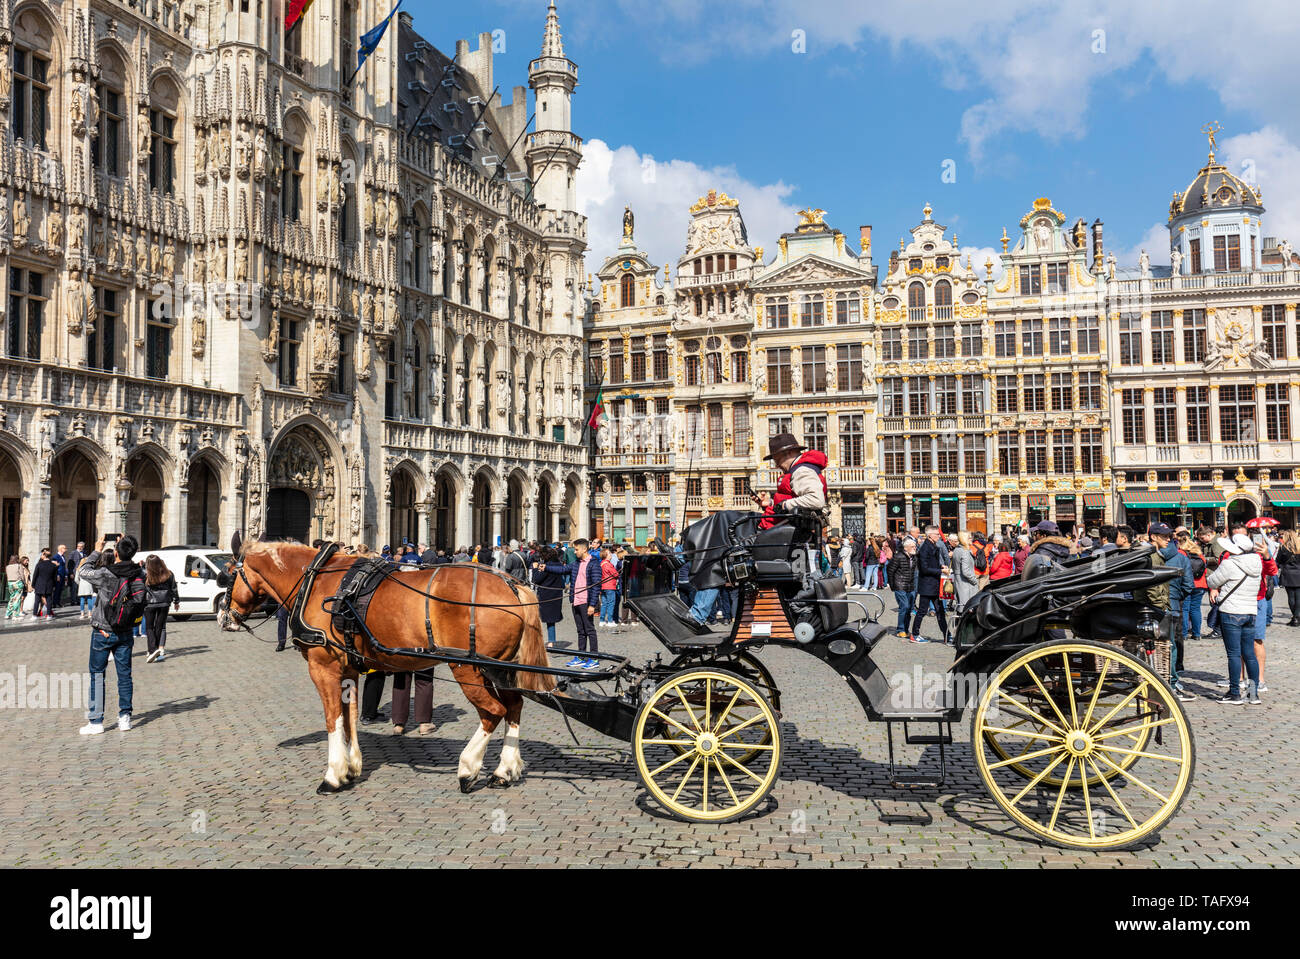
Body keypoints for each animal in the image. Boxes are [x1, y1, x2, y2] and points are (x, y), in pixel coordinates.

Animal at [217, 539, 554, 794]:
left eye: (228, 573)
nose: (223, 617)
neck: (315, 581)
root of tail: (514, 586)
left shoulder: (323, 666)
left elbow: (332, 719)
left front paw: (333, 776)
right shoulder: (349, 669)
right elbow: (350, 717)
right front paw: (352, 768)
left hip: (469, 667)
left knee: (493, 711)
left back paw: (468, 769)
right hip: (500, 667)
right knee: (514, 706)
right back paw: (504, 771)